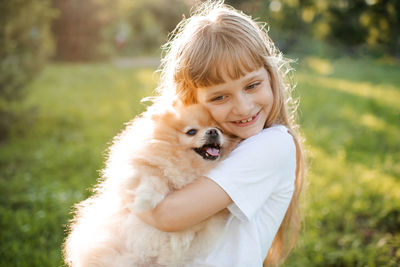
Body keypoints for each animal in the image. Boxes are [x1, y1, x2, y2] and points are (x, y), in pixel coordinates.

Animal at [64, 101, 239, 266]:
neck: (191, 167)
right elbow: (154, 177)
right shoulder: (144, 167)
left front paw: (183, 236)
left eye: (219, 128)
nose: (213, 131)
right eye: (191, 132)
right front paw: (146, 199)